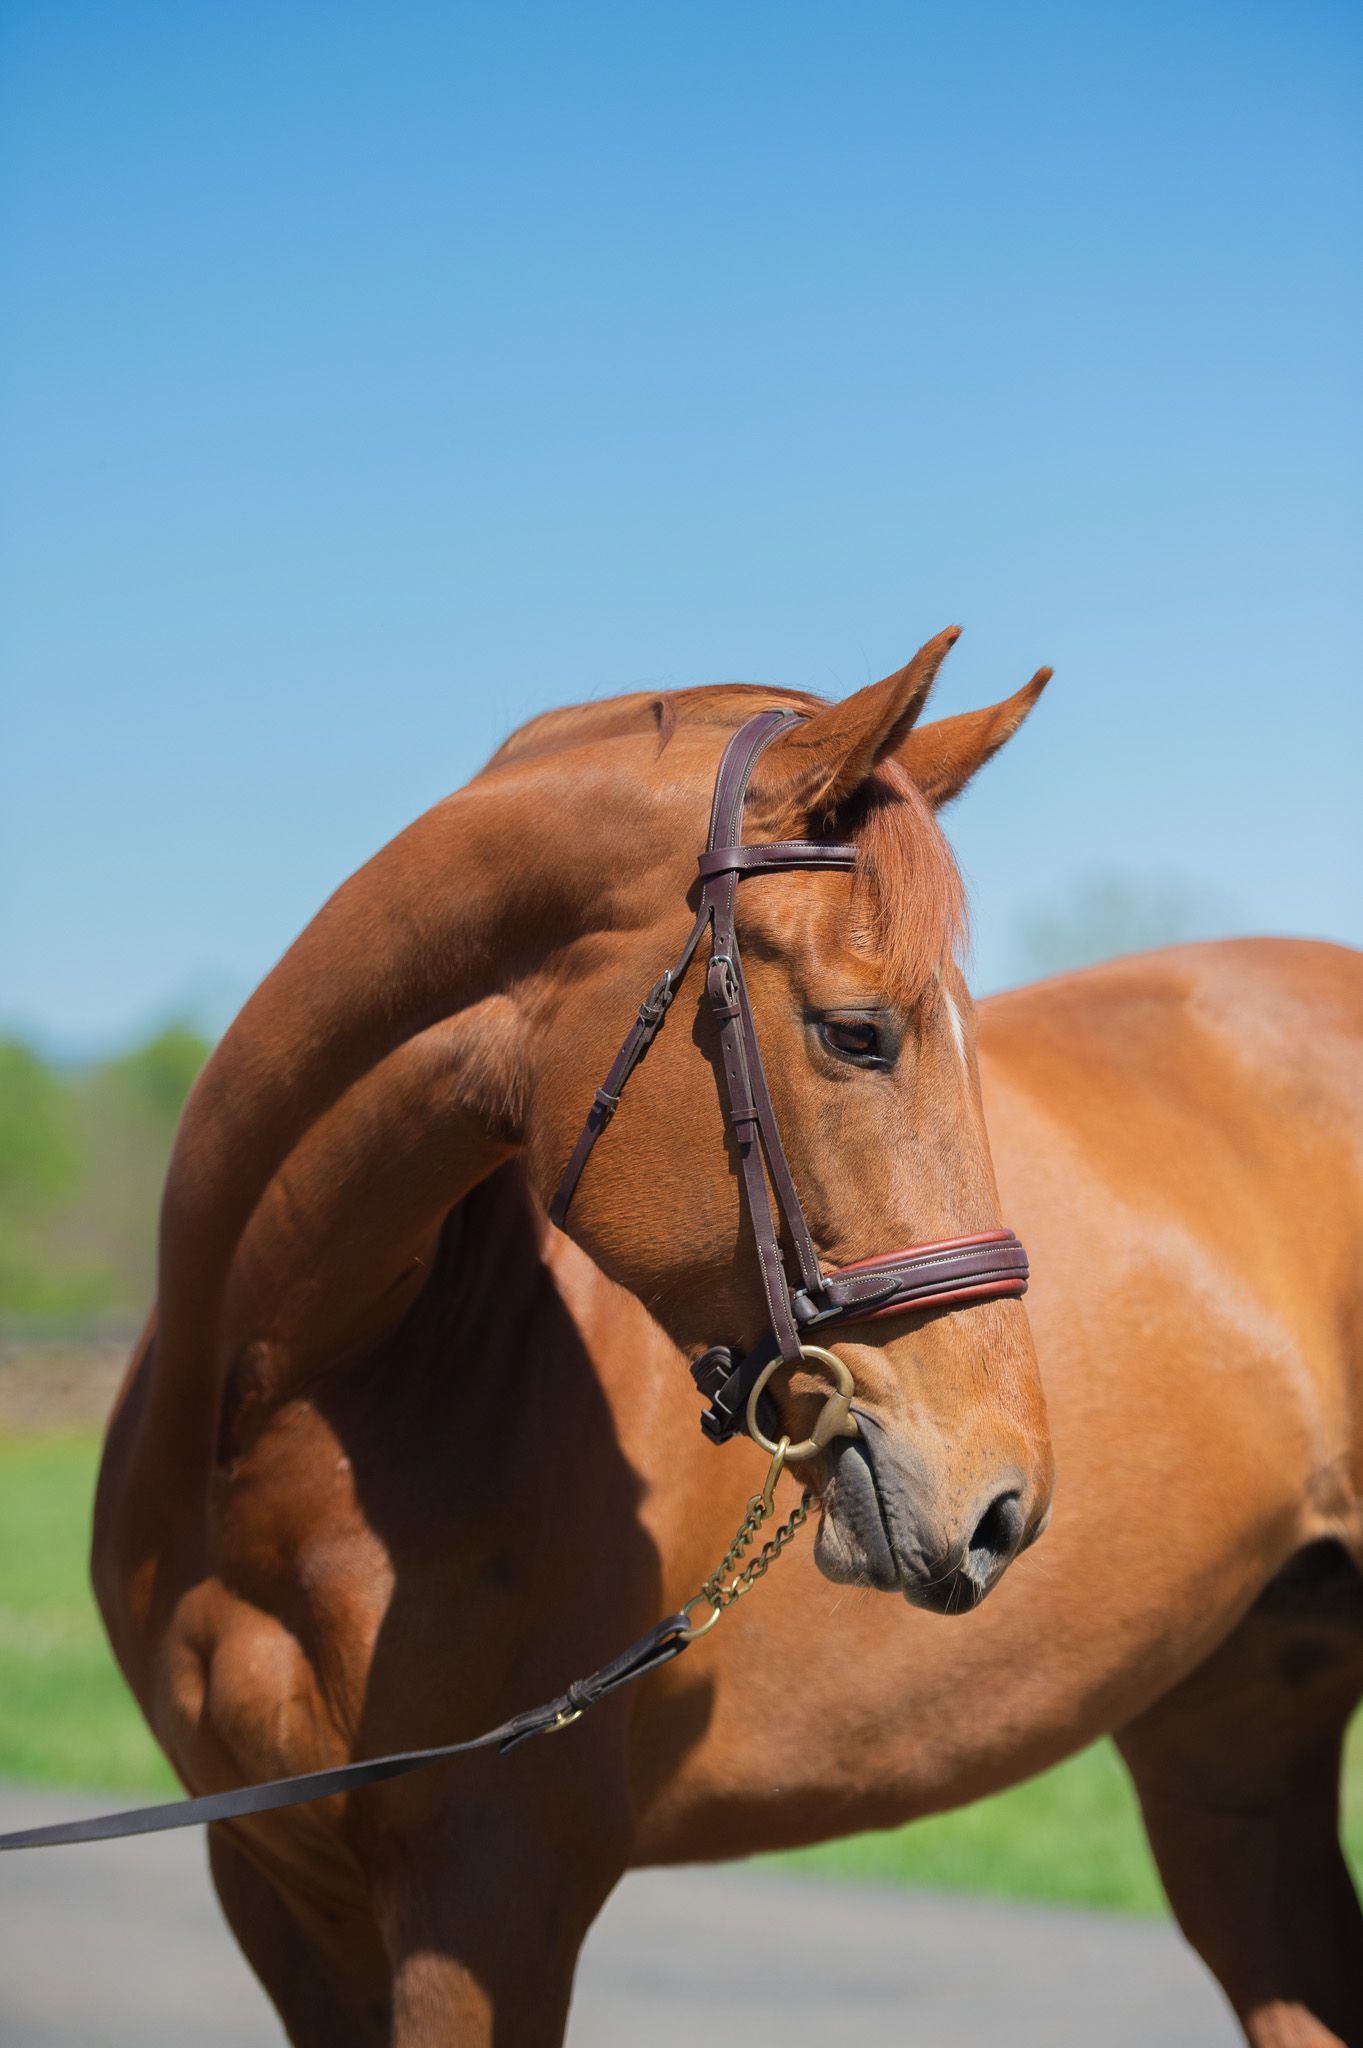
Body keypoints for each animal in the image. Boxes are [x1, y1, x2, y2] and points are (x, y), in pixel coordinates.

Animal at [91, 628, 1363, 2048]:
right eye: (855, 1033)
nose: (1001, 1501)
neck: (277, 1407)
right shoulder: (273, 1881)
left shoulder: (487, 1893)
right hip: (1233, 1740)